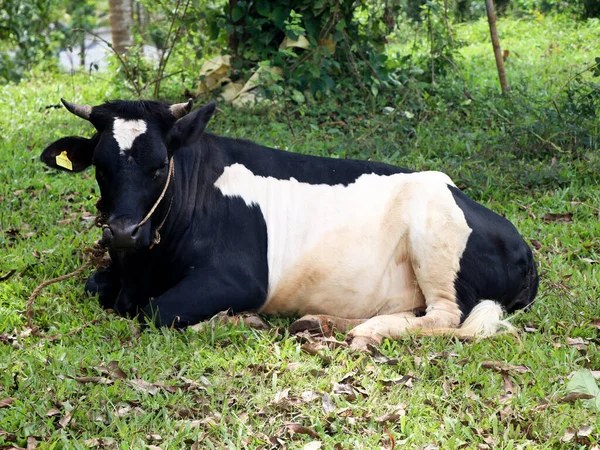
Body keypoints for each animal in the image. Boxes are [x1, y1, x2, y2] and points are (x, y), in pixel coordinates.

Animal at [41, 98, 540, 348]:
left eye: (160, 165)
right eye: (100, 165)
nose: (123, 232)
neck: (142, 269)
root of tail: (523, 246)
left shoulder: (239, 278)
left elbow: (156, 312)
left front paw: (236, 322)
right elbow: (94, 285)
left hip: (434, 234)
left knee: (446, 316)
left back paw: (368, 331)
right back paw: (321, 323)